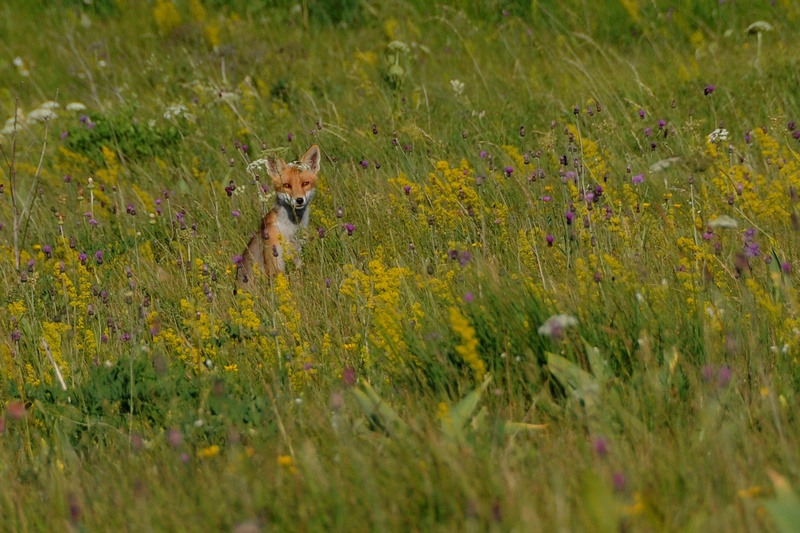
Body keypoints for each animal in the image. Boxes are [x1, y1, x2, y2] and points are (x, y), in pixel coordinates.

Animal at [239, 143, 320, 280]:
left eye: (305, 183)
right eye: (286, 185)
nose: (299, 200)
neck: (291, 230)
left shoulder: (297, 256)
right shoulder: (275, 260)